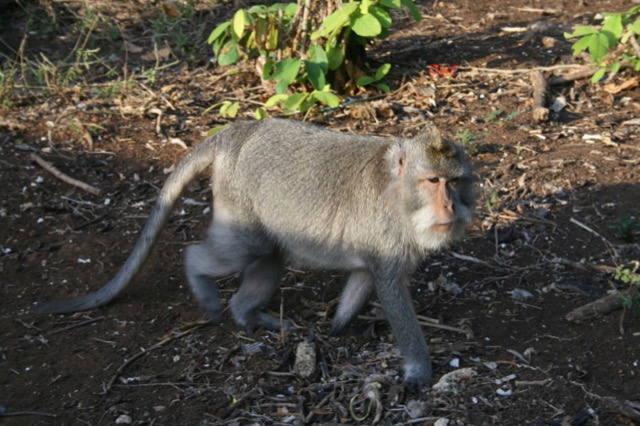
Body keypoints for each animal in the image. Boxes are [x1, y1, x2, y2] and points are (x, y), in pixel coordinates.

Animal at [37, 119, 476, 388]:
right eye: (432, 181)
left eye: (454, 182)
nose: (449, 206)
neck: (397, 191)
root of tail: (240, 130)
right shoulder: (387, 239)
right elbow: (391, 290)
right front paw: (419, 371)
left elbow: (364, 278)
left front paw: (340, 325)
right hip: (238, 198)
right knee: (239, 250)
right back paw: (200, 278)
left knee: (269, 257)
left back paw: (247, 313)